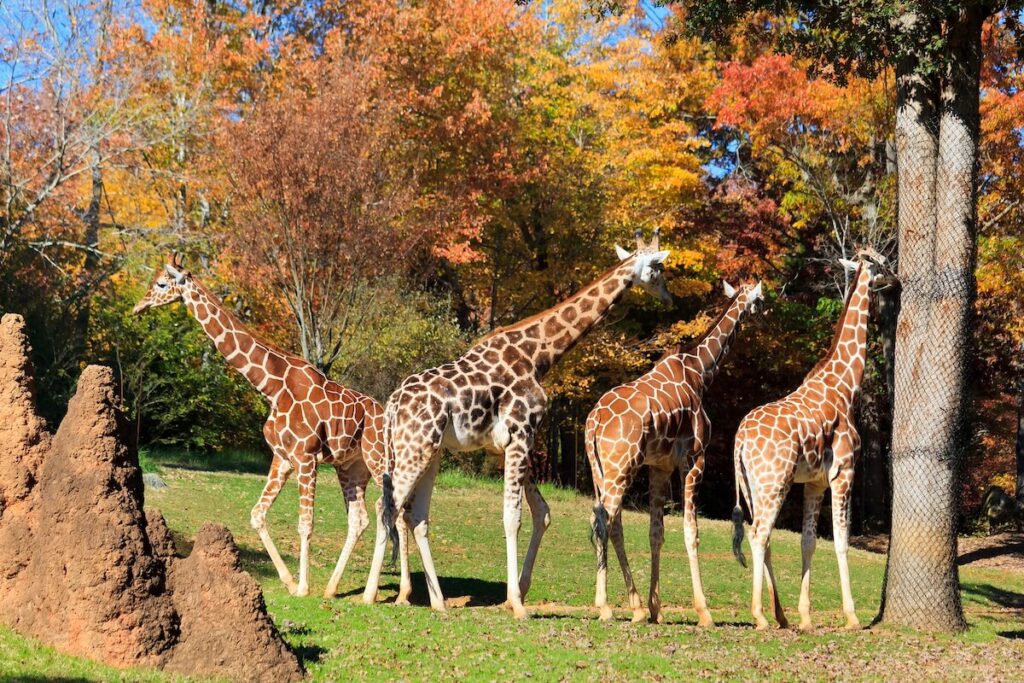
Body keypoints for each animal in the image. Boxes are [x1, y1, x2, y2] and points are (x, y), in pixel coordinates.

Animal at [133, 254, 409, 598]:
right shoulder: (282, 458)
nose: (138, 306)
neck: (272, 388)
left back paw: (392, 594)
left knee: (395, 513)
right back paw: (334, 588)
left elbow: (305, 523)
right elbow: (257, 514)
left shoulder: (306, 458)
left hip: (378, 458)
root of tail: (386, 416)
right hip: (351, 466)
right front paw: (289, 581)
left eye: (160, 283)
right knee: (361, 519)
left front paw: (302, 586)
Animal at [361, 230, 673, 618]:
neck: (538, 355)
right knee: (385, 506)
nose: (669, 298)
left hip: (428, 452)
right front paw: (518, 604)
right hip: (414, 450)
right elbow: (514, 517)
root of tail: (391, 405)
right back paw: (371, 594)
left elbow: (542, 512)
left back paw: (438, 602)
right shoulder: (522, 435)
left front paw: (518, 593)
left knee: (415, 514)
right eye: (658, 268)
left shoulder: (509, 444)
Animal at [586, 279, 764, 626]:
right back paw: (605, 606)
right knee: (605, 521)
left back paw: (636, 607)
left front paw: (655, 608)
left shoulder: (660, 466)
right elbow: (691, 531)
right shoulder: (694, 459)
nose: (761, 312)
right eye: (759, 299)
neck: (701, 372)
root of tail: (594, 421)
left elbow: (656, 531)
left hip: (601, 470)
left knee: (610, 523)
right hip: (620, 467)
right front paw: (704, 612)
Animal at [731, 249, 887, 630]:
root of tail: (739, 439)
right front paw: (852, 616)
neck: (846, 385)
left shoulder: (814, 481)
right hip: (774, 481)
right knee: (759, 533)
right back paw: (760, 615)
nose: (895, 278)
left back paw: (781, 615)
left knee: (764, 534)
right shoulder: (844, 472)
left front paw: (805, 615)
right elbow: (842, 542)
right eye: (882, 263)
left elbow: (808, 542)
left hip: (754, 484)